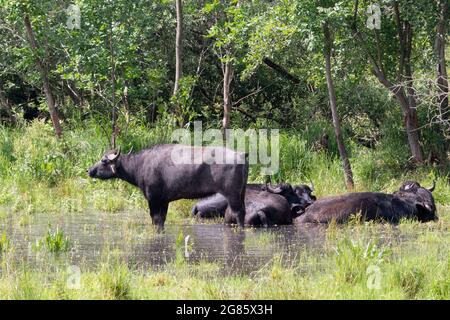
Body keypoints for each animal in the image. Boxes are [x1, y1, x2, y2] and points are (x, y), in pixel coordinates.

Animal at [87, 145, 250, 228]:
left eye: (103, 161)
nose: (89, 170)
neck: (139, 165)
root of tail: (241, 154)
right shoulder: (164, 201)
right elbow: (162, 220)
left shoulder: (153, 199)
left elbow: (155, 220)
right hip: (242, 192)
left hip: (233, 195)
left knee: (239, 213)